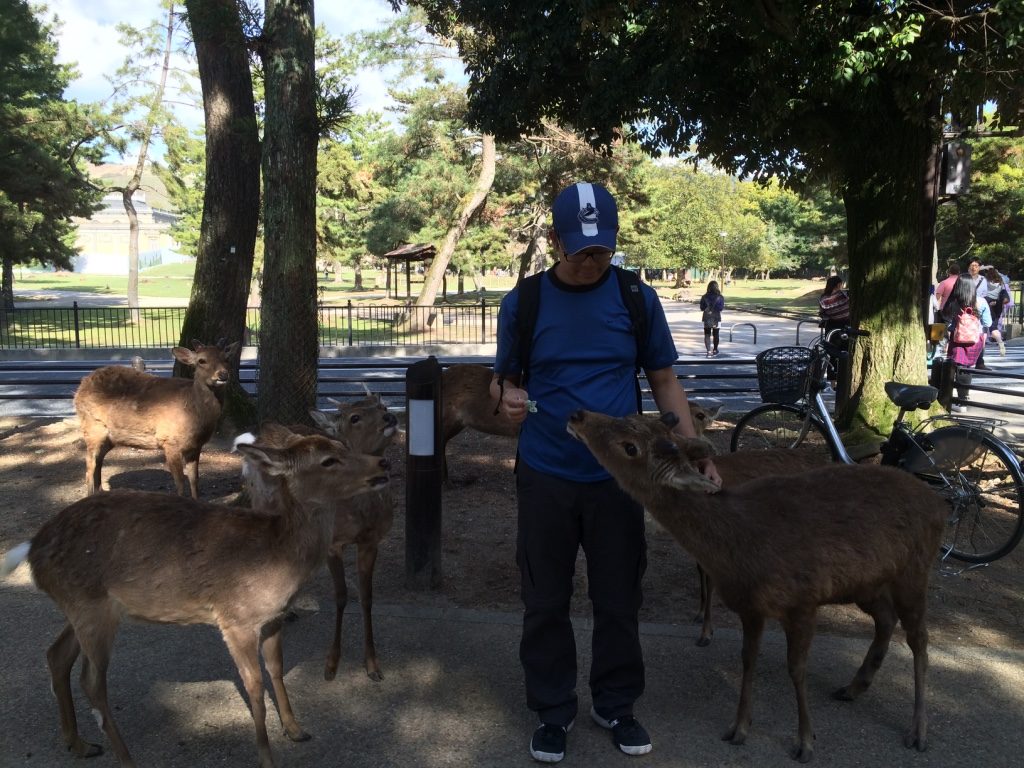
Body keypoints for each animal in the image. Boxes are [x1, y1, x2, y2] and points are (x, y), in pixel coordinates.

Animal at [0, 428, 389, 768]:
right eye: (328, 460)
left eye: (342, 444)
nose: (382, 463)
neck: (278, 558)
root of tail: (33, 549)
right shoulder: (235, 618)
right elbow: (254, 688)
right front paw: (267, 758)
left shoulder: (274, 617)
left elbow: (277, 670)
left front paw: (296, 729)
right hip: (91, 610)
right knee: (92, 683)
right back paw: (125, 759)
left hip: (82, 606)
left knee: (56, 654)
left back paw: (79, 744)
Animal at [73, 337, 239, 499]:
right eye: (201, 360)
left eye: (226, 358)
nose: (223, 374)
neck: (195, 416)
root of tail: (81, 386)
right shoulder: (169, 441)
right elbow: (179, 481)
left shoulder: (195, 446)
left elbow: (194, 479)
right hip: (92, 426)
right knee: (89, 464)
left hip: (110, 437)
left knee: (98, 460)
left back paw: (100, 491)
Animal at [569, 409, 942, 765]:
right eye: (631, 417)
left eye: (630, 447)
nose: (578, 415)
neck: (736, 546)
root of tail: (939, 503)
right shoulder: (750, 605)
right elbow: (748, 659)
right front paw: (739, 728)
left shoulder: (804, 599)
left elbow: (797, 669)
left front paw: (805, 742)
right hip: (866, 584)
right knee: (886, 619)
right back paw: (853, 687)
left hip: (915, 570)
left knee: (919, 640)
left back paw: (918, 731)